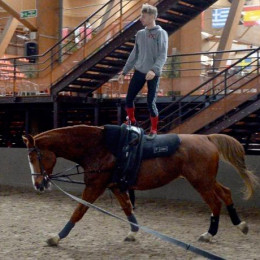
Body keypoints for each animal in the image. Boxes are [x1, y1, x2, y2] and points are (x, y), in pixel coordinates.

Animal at [22, 124, 258, 246]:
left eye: (35, 156)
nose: (38, 184)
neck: (102, 147)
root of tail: (208, 138)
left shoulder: (95, 186)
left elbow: (78, 211)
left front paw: (56, 237)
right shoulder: (116, 186)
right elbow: (127, 208)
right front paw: (134, 232)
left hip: (200, 181)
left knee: (215, 204)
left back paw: (210, 234)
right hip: (206, 180)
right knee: (226, 194)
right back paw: (240, 225)